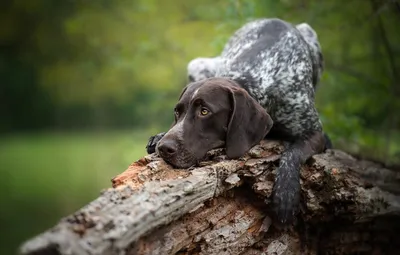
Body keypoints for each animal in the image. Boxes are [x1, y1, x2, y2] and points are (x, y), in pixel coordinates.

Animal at [147, 17, 328, 225]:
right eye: (177, 112)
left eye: (204, 111)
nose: (164, 148)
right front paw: (158, 136)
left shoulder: (315, 133)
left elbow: (292, 154)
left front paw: (286, 194)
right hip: (197, 64)